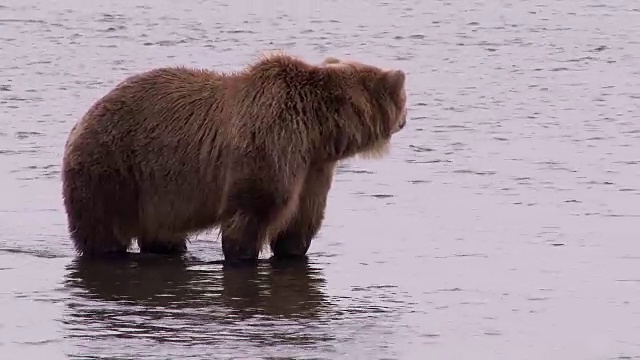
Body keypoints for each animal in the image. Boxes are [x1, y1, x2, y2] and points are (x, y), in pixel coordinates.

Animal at [62, 50, 408, 262]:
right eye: (405, 100)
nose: (406, 119)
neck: (316, 129)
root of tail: (82, 119)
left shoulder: (313, 168)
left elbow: (301, 220)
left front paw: (292, 249)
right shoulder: (272, 140)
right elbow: (252, 210)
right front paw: (243, 254)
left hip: (154, 192)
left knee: (160, 233)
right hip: (113, 167)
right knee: (103, 229)